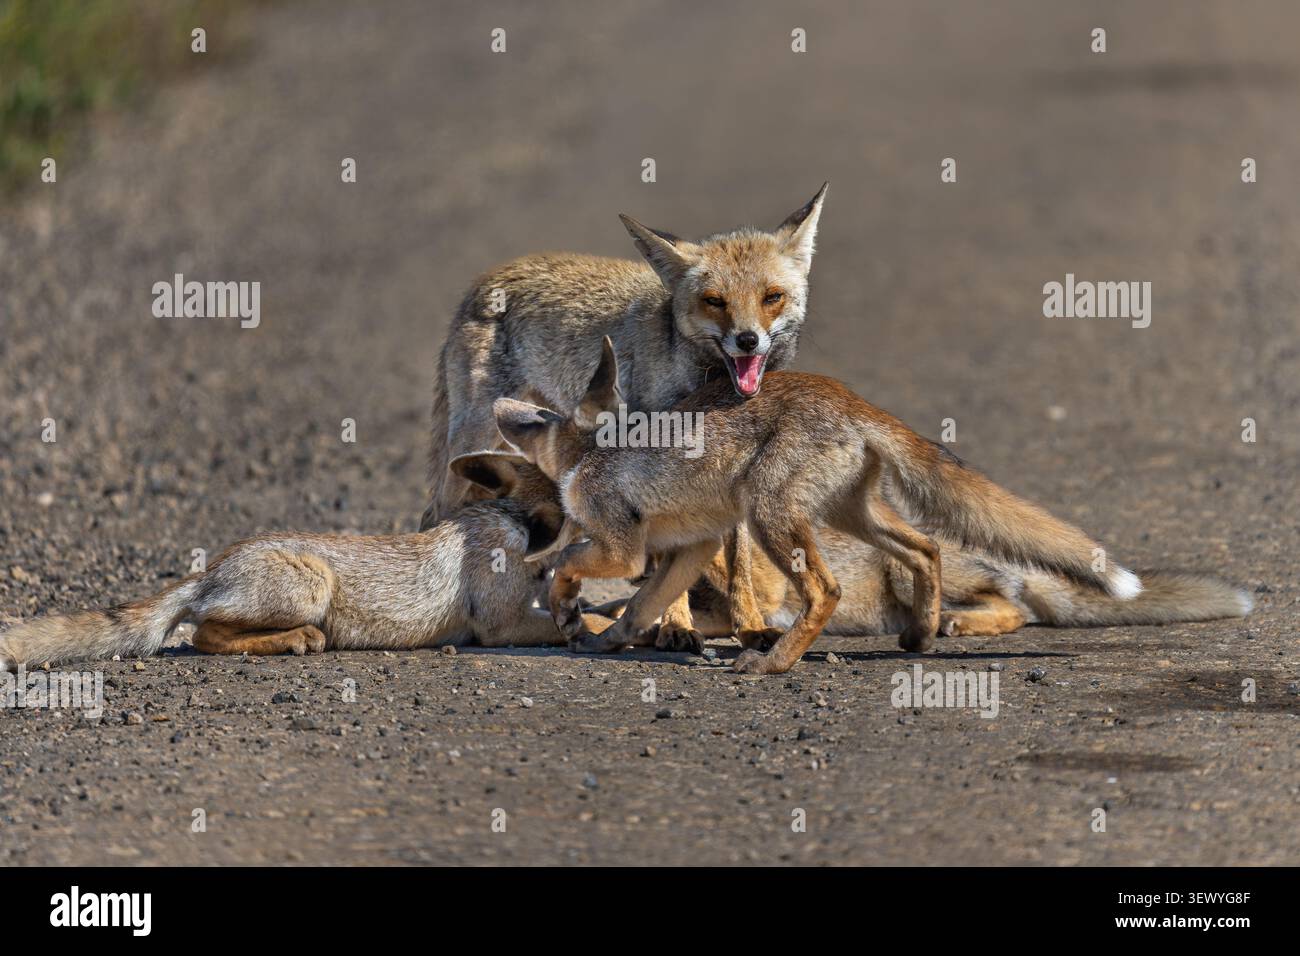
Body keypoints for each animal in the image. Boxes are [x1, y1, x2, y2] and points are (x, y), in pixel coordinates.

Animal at [0, 453, 605, 673]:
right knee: (203, 635)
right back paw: (296, 640)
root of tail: (210, 570)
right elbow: (572, 624)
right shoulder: (498, 624)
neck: (514, 522)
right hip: (313, 586)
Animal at [492, 338, 1248, 675]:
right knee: (927, 546)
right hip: (848, 517)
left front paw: (567, 610)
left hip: (773, 517)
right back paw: (921, 633)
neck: (589, 452)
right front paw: (606, 639)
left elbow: (577, 568)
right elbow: (642, 609)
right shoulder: (690, 548)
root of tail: (850, 397)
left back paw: (775, 663)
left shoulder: (626, 544)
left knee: (827, 592)